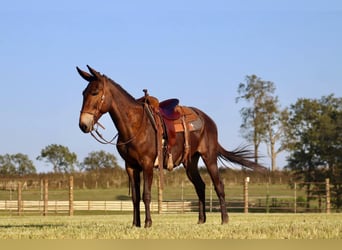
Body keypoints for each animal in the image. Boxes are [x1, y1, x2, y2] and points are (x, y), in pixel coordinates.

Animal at [77, 65, 264, 228]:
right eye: (83, 93)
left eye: (95, 92)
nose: (83, 125)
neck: (136, 125)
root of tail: (208, 120)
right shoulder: (130, 166)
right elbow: (135, 198)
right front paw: (135, 224)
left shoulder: (147, 164)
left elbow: (146, 195)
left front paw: (147, 223)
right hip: (190, 162)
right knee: (200, 186)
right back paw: (201, 220)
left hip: (209, 157)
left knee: (219, 185)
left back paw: (224, 219)